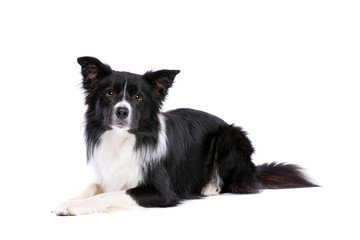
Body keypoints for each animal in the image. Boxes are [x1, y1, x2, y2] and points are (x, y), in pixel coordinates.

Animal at [54, 56, 318, 216]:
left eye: (138, 98)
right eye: (109, 93)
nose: (121, 111)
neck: (124, 139)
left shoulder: (161, 192)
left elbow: (112, 195)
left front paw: (76, 207)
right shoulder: (110, 174)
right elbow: (95, 186)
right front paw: (69, 201)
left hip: (231, 136)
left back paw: (210, 187)